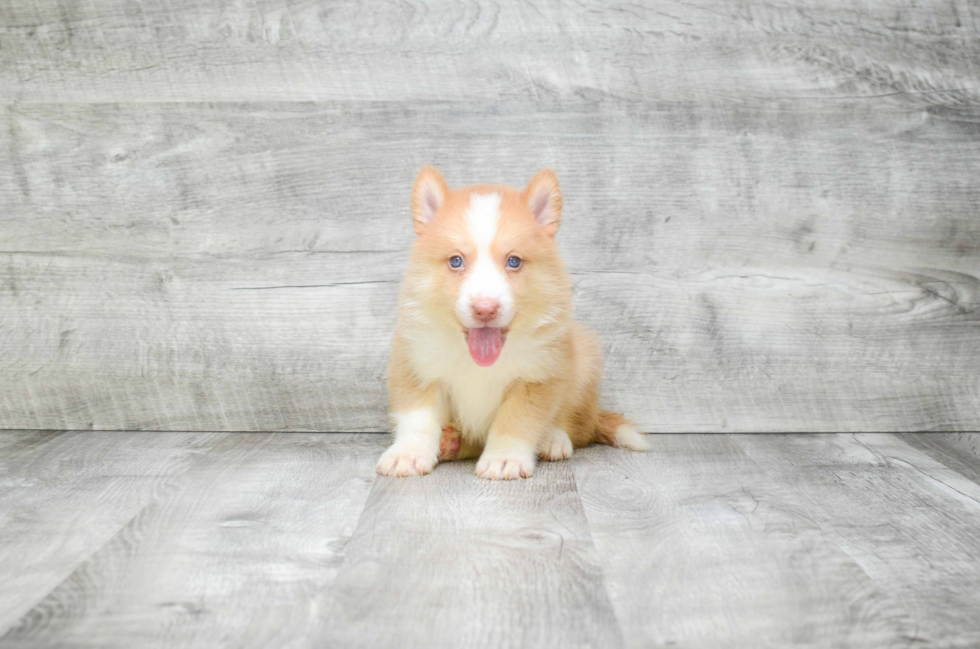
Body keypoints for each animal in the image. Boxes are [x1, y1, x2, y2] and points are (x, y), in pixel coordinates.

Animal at [378, 167, 652, 480]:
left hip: (583, 358)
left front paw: (504, 458)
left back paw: (553, 439)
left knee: (577, 425)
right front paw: (407, 454)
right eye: (456, 261)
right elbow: (417, 418)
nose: (485, 309)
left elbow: (516, 422)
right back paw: (451, 442)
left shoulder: (537, 376)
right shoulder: (416, 366)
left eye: (514, 261)